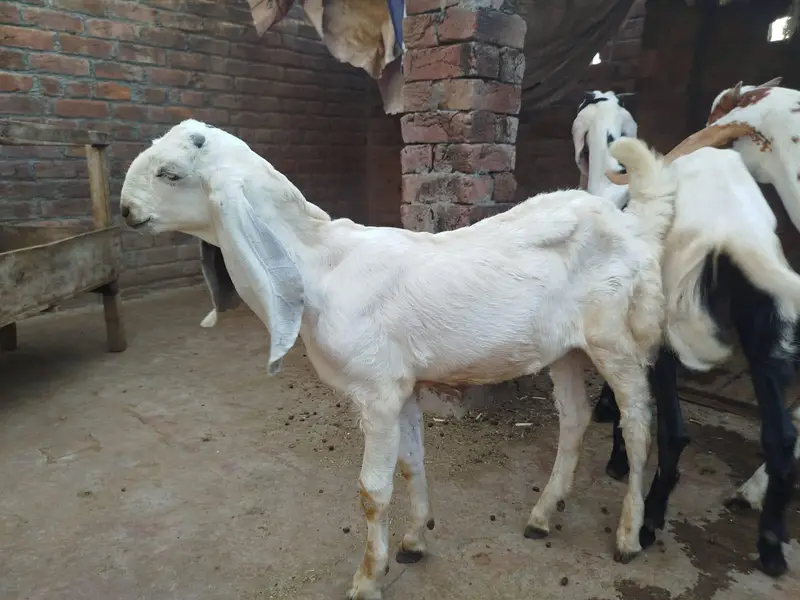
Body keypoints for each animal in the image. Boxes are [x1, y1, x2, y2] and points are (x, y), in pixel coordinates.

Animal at [121, 119, 676, 600]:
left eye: (171, 172)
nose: (126, 211)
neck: (320, 267)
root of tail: (634, 229)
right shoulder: (402, 386)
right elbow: (410, 464)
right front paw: (415, 540)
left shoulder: (377, 392)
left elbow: (372, 490)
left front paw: (368, 577)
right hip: (566, 350)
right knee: (575, 419)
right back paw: (542, 515)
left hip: (614, 338)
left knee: (636, 423)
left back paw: (628, 536)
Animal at [574, 90, 800, 577]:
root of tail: (734, 230)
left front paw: (617, 459)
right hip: (760, 324)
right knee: (781, 438)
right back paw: (770, 546)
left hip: (669, 330)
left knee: (675, 432)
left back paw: (649, 523)